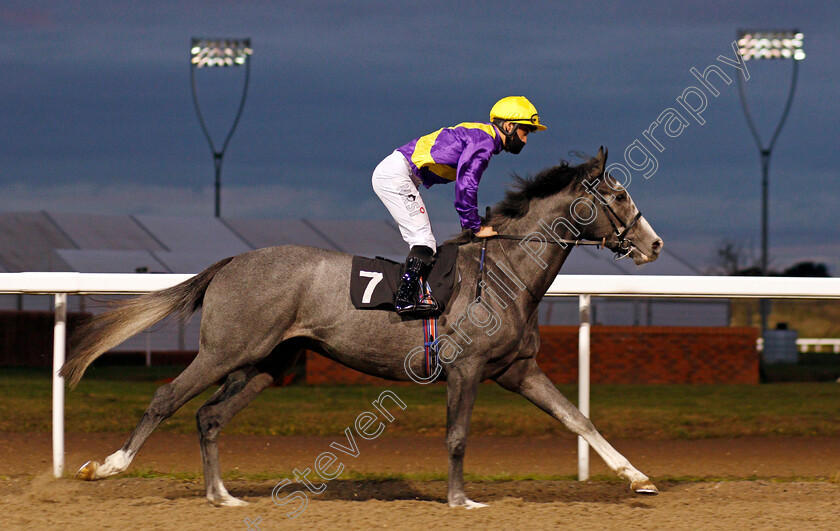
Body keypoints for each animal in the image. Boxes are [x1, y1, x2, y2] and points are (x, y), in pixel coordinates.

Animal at [59, 148, 664, 510]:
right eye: (617, 196)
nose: (653, 243)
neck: (505, 273)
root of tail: (230, 262)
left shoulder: (518, 370)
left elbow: (579, 419)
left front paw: (639, 477)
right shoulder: (466, 369)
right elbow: (458, 436)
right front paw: (460, 500)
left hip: (267, 364)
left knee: (208, 416)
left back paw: (223, 496)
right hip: (226, 351)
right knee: (166, 398)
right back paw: (106, 467)